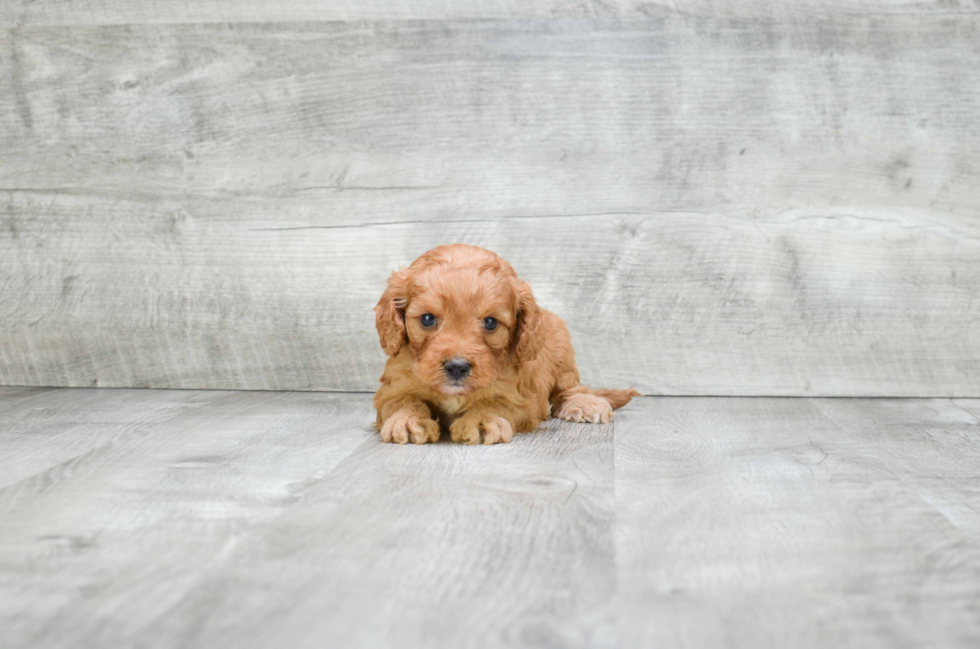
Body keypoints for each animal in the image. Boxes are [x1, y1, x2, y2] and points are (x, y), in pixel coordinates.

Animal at [372, 244, 640, 446]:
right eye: (427, 318)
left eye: (490, 322)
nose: (457, 367)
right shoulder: (394, 387)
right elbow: (403, 401)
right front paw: (408, 420)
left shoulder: (519, 397)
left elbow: (495, 402)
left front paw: (480, 420)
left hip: (561, 345)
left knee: (569, 389)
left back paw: (583, 403)